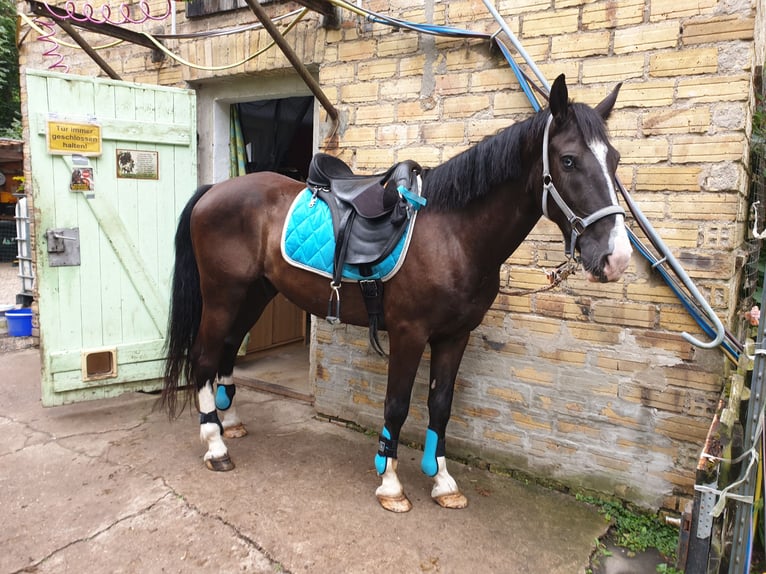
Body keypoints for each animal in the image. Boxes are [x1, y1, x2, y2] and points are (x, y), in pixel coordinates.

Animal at [160, 75, 632, 512]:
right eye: (568, 160)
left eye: (615, 159)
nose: (617, 257)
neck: (453, 234)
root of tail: (215, 190)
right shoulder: (409, 333)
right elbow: (397, 405)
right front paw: (390, 483)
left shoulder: (454, 336)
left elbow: (440, 404)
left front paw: (442, 482)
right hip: (223, 296)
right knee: (204, 357)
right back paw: (215, 444)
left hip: (254, 295)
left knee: (225, 351)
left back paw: (231, 423)